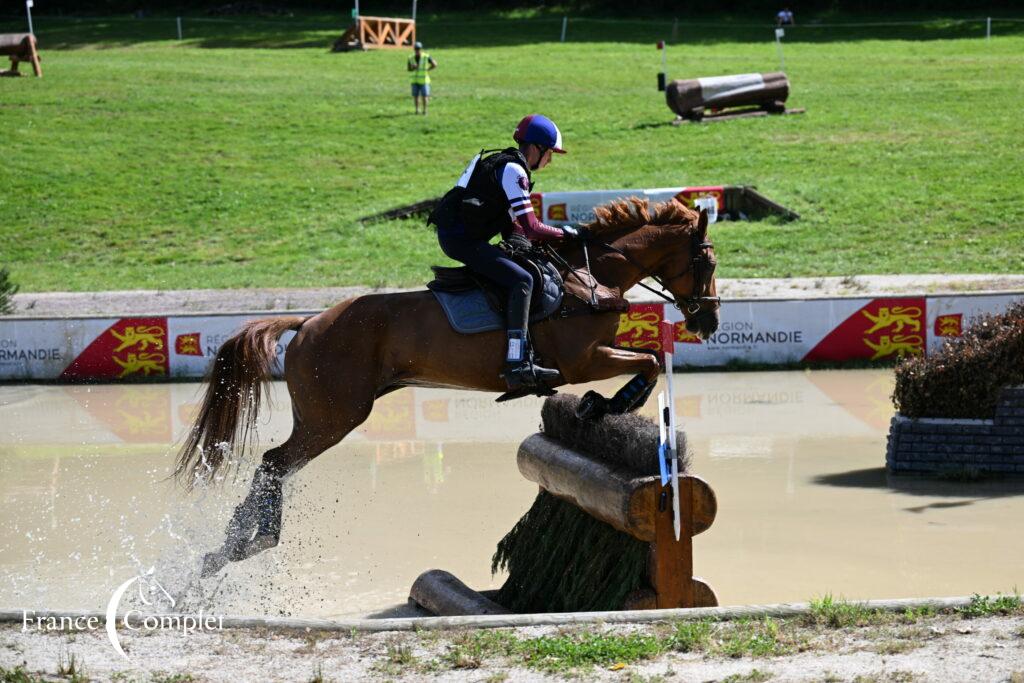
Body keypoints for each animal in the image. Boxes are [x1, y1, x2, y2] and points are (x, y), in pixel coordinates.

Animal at [176, 198, 720, 577]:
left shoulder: (591, 356)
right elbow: (650, 361)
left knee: (275, 467)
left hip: (328, 414)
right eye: (708, 265)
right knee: (274, 463)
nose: (710, 321)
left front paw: (601, 406)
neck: (588, 276)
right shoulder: (580, 360)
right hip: (334, 416)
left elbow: (651, 359)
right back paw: (248, 543)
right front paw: (603, 404)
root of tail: (308, 322)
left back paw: (227, 548)